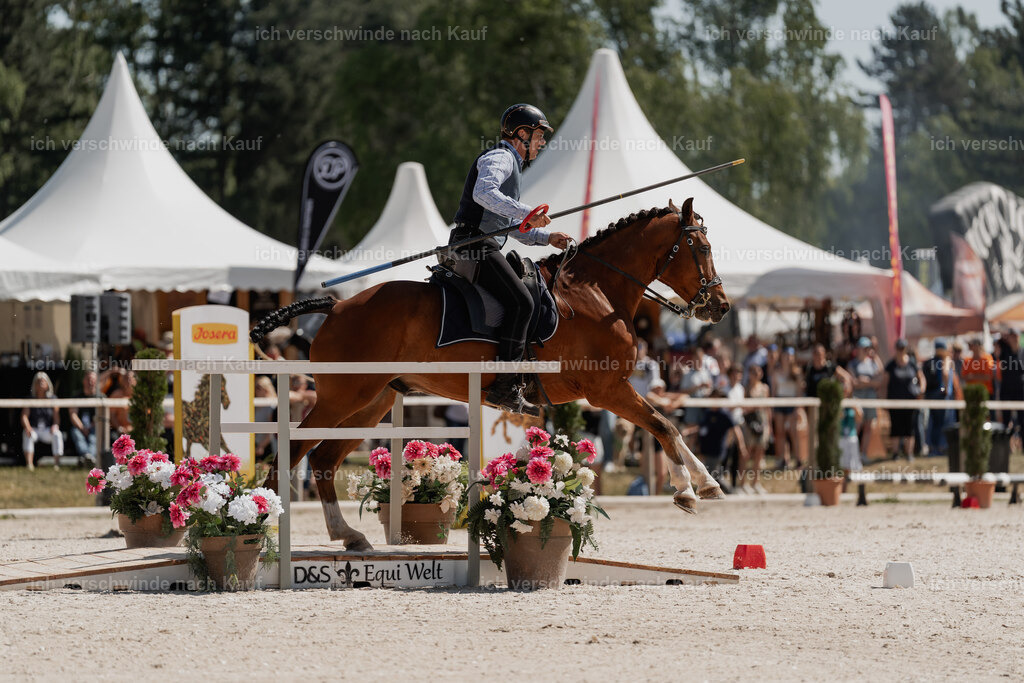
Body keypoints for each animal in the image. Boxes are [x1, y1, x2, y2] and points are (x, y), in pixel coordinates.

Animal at [251, 197, 730, 550]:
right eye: (703, 249)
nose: (721, 307)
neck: (595, 292)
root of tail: (336, 308)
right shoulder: (608, 390)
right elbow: (664, 425)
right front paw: (687, 489)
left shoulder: (614, 390)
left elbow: (670, 427)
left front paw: (708, 484)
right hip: (343, 398)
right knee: (292, 454)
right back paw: (267, 528)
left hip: (371, 404)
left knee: (323, 460)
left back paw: (348, 535)